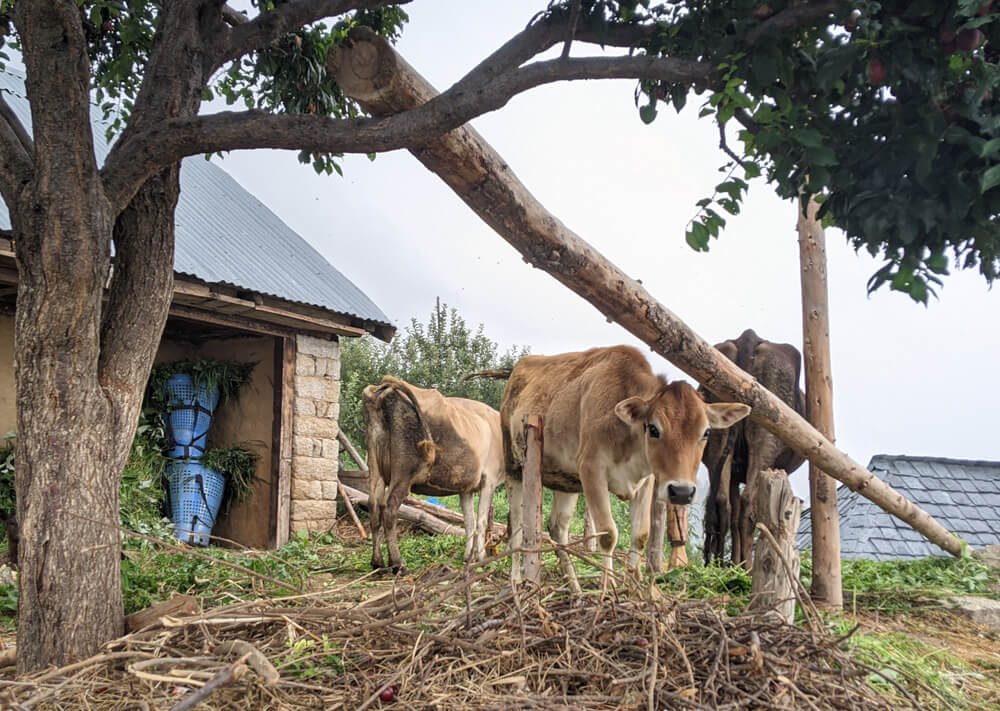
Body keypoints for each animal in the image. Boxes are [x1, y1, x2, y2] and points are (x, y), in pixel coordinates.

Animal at [364, 376, 504, 576]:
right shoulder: (489, 481)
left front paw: (467, 557)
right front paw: (481, 558)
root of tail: (387, 387)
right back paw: (398, 564)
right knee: (389, 509)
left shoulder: (465, 487)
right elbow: (481, 522)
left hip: (375, 467)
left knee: (374, 507)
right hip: (403, 471)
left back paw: (378, 563)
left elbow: (469, 521)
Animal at [496, 348, 748, 592]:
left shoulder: (647, 481)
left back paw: (575, 588)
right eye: (653, 428)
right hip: (515, 466)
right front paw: (607, 588)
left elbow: (640, 535)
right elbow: (608, 534)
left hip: (566, 481)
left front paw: (633, 586)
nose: (682, 492)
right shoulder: (591, 469)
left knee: (558, 527)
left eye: (706, 432)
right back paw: (516, 580)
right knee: (517, 527)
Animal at [700, 330, 808, 572]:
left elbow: (732, 511)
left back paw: (722, 564)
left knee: (724, 503)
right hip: (765, 441)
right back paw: (748, 567)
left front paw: (733, 562)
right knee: (749, 503)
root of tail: (747, 338)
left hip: (720, 440)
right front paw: (739, 563)